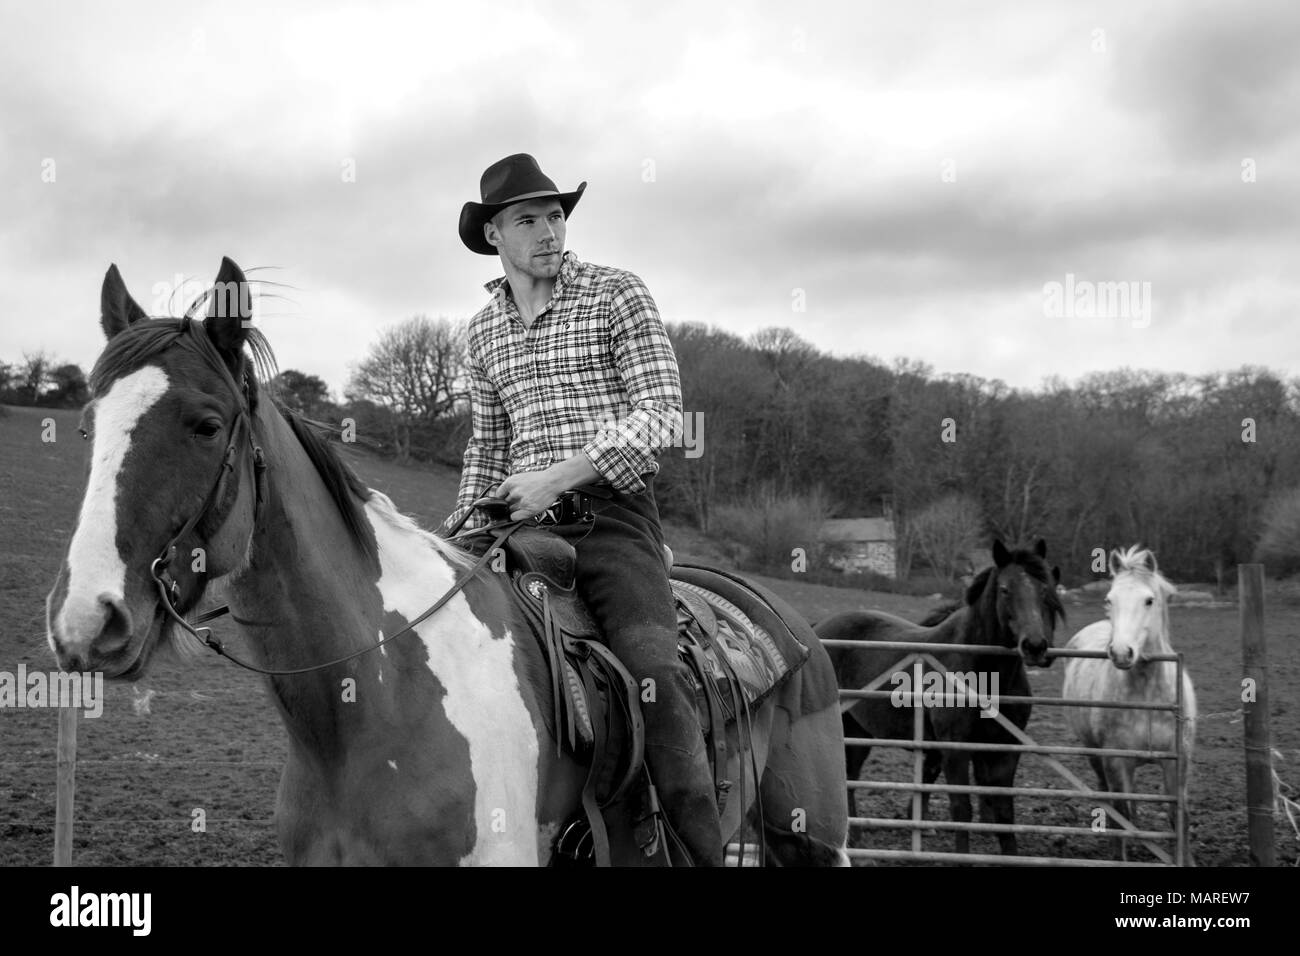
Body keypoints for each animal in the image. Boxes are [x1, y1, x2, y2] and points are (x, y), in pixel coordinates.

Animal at [43, 260, 852, 868]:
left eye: (207, 426)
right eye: (86, 425)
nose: (87, 620)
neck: (370, 695)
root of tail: (783, 623)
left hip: (807, 838)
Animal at [816, 541, 1060, 858]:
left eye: (1046, 590)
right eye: (1005, 589)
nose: (1035, 646)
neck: (986, 670)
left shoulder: (1005, 749)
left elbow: (1005, 813)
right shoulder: (954, 750)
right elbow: (961, 810)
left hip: (859, 732)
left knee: (851, 777)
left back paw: (854, 839)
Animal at [1066, 546, 1196, 868]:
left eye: (1149, 600)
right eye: (1109, 599)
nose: (1121, 653)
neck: (1147, 694)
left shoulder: (1178, 760)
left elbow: (1179, 816)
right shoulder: (1115, 760)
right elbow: (1120, 814)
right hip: (1094, 754)